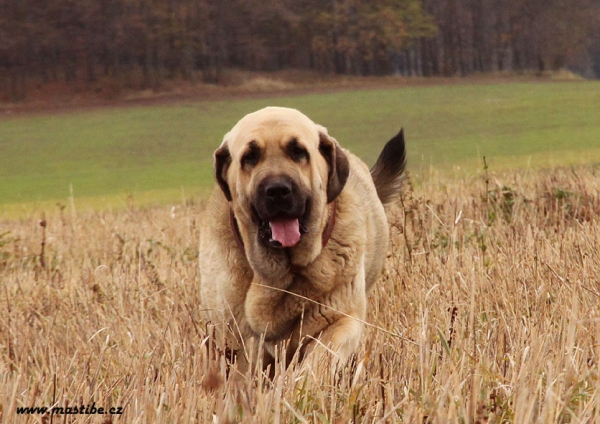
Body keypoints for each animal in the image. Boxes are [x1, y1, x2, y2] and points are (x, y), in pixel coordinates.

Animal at [199, 107, 406, 372]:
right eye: (250, 157)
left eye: (298, 151)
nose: (277, 190)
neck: (278, 275)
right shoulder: (237, 338)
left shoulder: (341, 320)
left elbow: (319, 359)